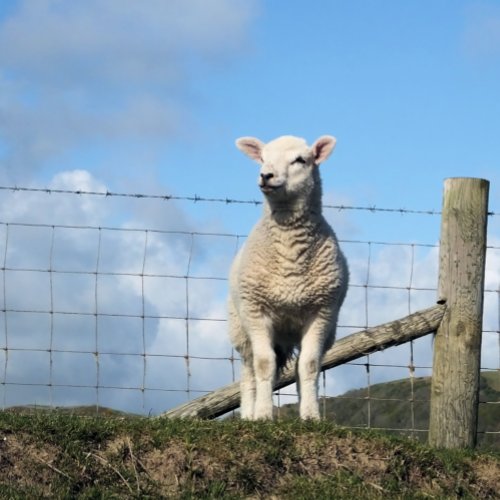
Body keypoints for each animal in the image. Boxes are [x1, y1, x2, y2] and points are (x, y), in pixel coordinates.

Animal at [229, 134, 350, 418]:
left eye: (300, 160)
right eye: (262, 158)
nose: (266, 175)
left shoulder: (321, 312)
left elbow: (309, 365)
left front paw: (311, 415)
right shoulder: (256, 311)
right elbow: (264, 365)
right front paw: (263, 415)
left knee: (296, 367)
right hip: (241, 328)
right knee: (249, 371)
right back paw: (249, 414)